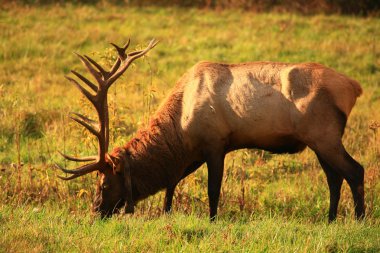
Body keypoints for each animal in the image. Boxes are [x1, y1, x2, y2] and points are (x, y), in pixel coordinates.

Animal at [56, 38, 366, 222]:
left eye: (104, 183)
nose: (95, 210)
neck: (180, 128)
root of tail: (354, 88)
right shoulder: (192, 154)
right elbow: (171, 183)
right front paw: (166, 214)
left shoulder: (215, 143)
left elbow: (213, 189)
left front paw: (212, 220)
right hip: (319, 141)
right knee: (334, 178)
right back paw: (330, 219)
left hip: (324, 135)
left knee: (354, 170)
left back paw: (359, 219)